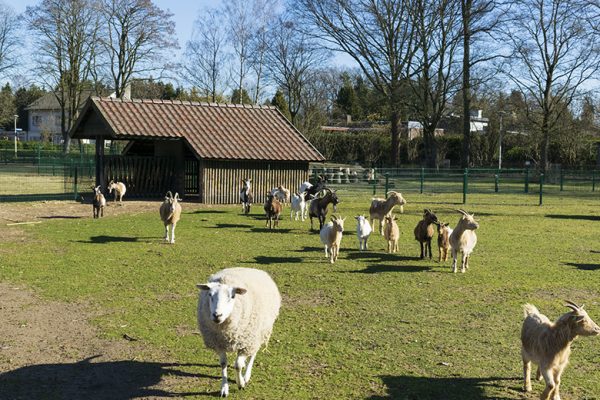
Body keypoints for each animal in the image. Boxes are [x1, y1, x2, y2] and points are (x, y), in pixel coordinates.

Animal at [197, 268, 282, 396]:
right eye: (210, 295)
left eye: (232, 296)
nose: (217, 315)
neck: (226, 332)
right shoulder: (218, 343)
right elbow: (223, 364)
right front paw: (224, 388)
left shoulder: (245, 343)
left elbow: (237, 365)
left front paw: (240, 383)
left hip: (256, 334)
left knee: (253, 354)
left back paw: (246, 376)